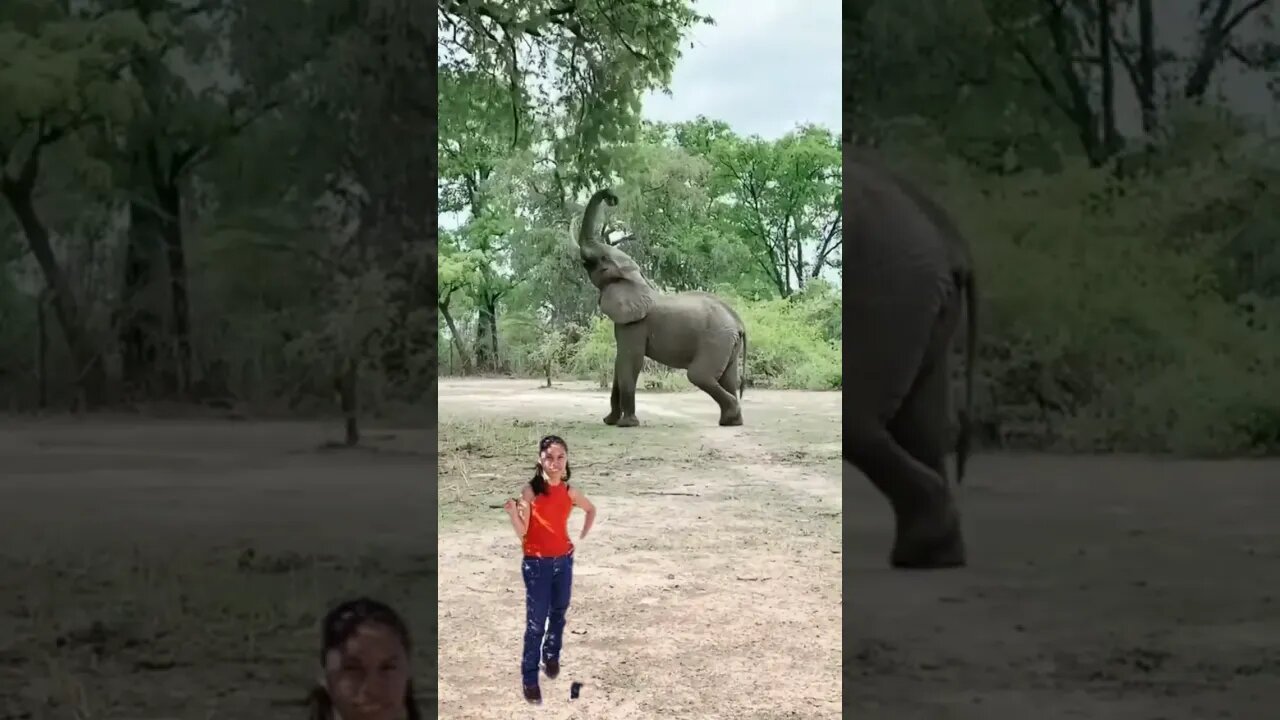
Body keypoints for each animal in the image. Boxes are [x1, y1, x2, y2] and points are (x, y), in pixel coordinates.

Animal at [575, 188, 748, 427]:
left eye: (601, 260)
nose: (612, 197)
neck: (636, 279)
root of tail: (739, 323)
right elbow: (619, 364)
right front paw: (609, 421)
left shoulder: (635, 324)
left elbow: (630, 362)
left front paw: (627, 425)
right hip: (728, 344)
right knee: (728, 378)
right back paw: (732, 422)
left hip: (716, 340)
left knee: (699, 375)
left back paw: (730, 418)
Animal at [845, 150, 977, 570]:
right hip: (914, 297)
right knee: (921, 428)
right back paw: (934, 556)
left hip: (885, 290)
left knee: (858, 422)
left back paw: (923, 552)